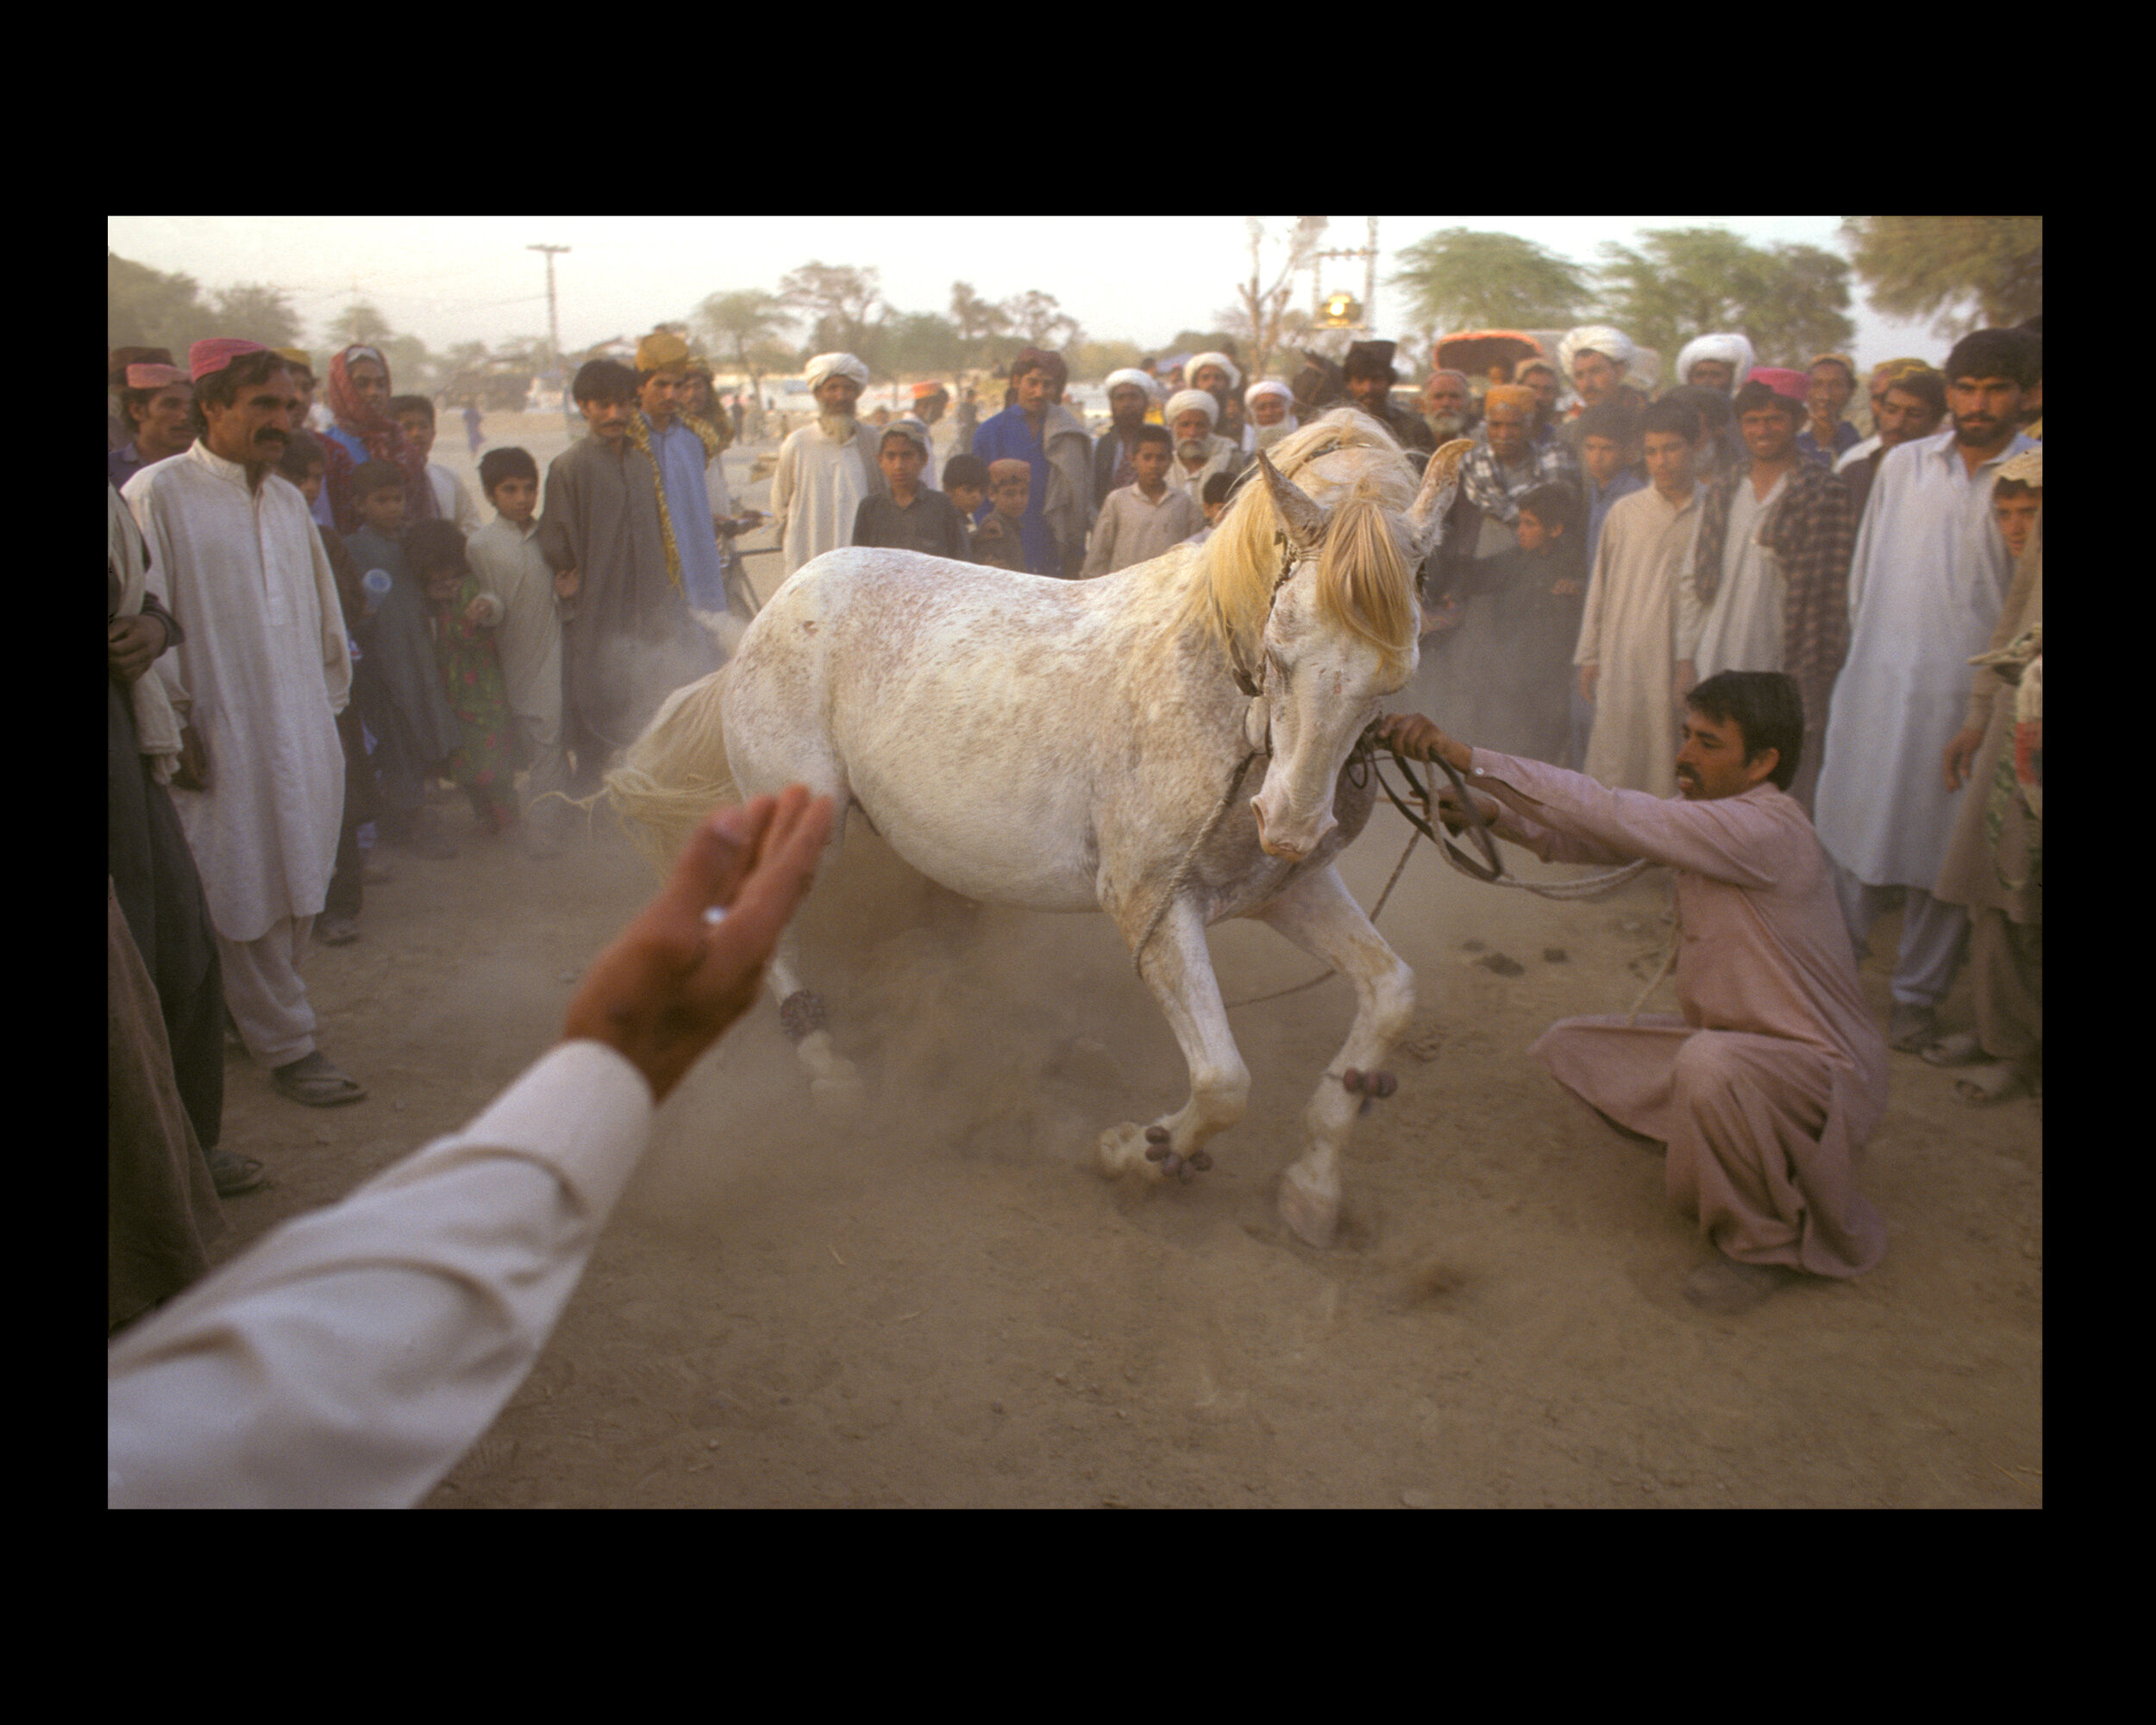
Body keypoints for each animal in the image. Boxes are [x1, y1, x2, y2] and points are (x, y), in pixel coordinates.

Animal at [617, 411, 1475, 1251]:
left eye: (1395, 673)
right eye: (1279, 647)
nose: (1289, 825)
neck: (1216, 698)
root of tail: (771, 610)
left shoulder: (1285, 893)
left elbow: (1391, 994)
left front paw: (1312, 1189)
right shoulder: (1151, 904)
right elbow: (1224, 1083)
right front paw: (1132, 1153)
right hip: (809, 822)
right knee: (764, 928)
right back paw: (830, 1071)